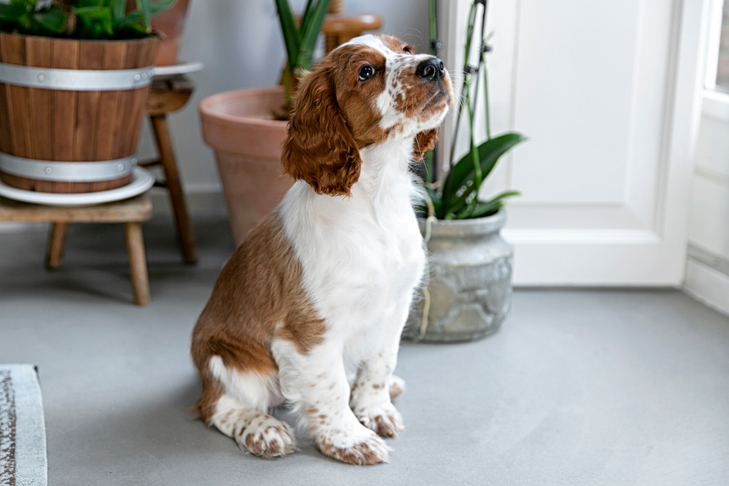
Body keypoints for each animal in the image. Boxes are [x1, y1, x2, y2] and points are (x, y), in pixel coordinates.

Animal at [191, 32, 452, 466]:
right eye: (366, 71)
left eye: (407, 50)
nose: (434, 65)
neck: (376, 198)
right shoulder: (309, 331)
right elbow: (329, 390)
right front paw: (350, 440)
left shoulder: (395, 306)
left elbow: (379, 364)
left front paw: (374, 410)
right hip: (229, 361)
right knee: (217, 407)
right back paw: (262, 429)